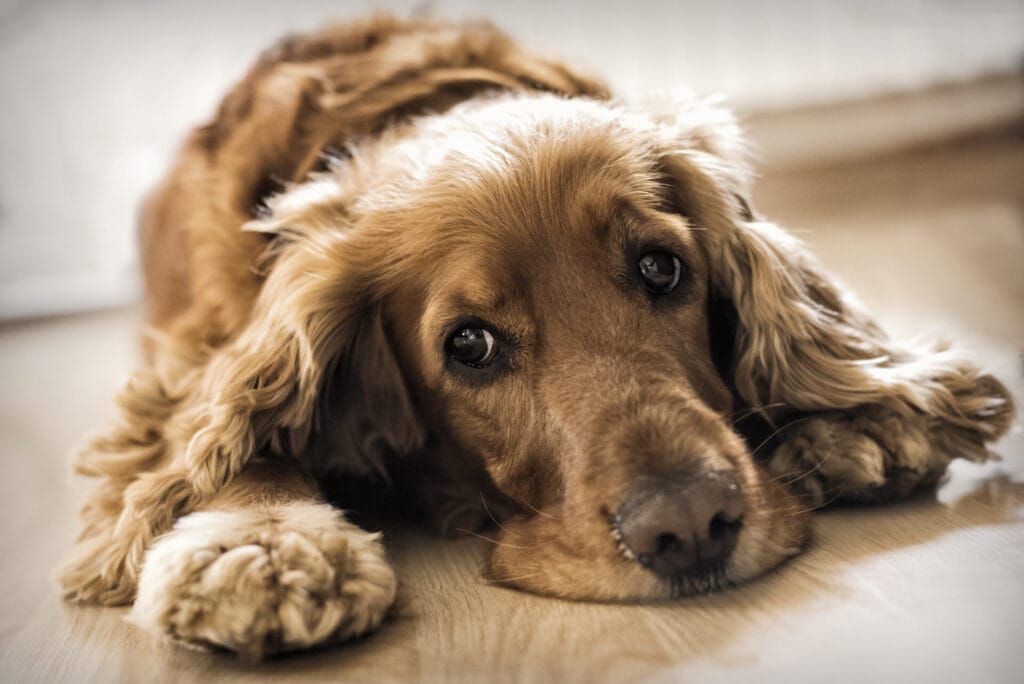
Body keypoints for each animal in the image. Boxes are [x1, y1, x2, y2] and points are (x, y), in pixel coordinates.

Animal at [58, 15, 1015, 655]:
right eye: (470, 346)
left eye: (661, 268)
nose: (691, 525)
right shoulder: (184, 362)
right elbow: (221, 439)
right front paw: (260, 543)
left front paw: (860, 420)